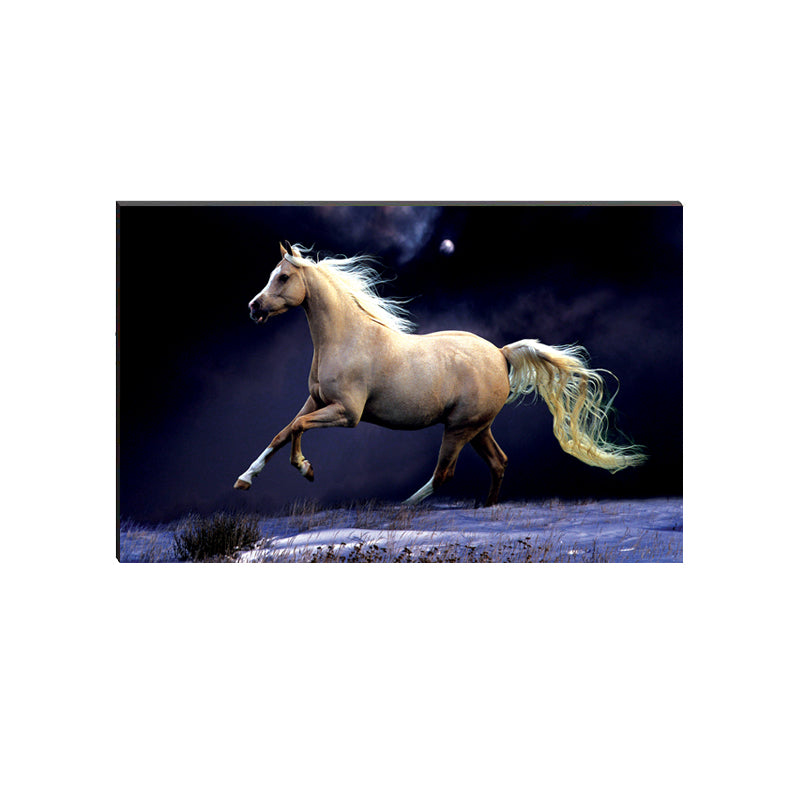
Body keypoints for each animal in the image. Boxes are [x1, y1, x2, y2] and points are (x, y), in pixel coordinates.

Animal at [234, 242, 645, 507]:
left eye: (283, 277)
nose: (253, 308)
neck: (348, 339)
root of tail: (501, 354)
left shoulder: (347, 413)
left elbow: (297, 429)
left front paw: (306, 469)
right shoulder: (315, 400)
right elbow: (283, 431)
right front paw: (245, 479)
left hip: (459, 428)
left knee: (445, 473)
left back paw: (402, 507)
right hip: (478, 428)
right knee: (499, 461)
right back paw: (486, 507)